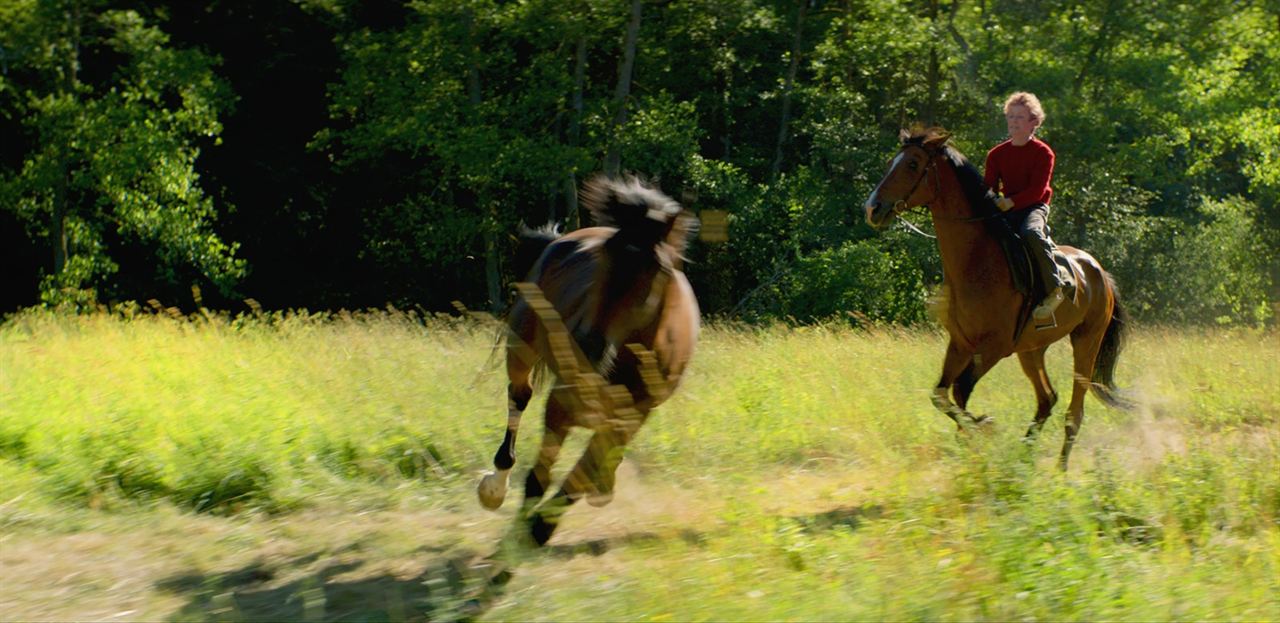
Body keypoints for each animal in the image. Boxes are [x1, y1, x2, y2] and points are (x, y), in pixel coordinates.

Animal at [481, 173, 701, 547]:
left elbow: (580, 475)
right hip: (521, 348)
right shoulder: (562, 403)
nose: (585, 347)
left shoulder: (632, 417)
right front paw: (522, 535)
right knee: (519, 396)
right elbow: (539, 477)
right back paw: (495, 487)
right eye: (603, 256)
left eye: (655, 268)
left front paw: (541, 527)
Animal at [860, 126, 1131, 468]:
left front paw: (982, 428)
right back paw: (1024, 457)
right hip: (1032, 350)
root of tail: (1099, 272)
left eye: (912, 164)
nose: (873, 208)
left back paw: (1059, 469)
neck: (977, 262)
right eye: (891, 163)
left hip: (1086, 342)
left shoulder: (993, 347)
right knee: (1047, 399)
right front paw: (973, 438)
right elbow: (941, 395)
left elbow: (960, 391)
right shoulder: (960, 344)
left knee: (1074, 412)